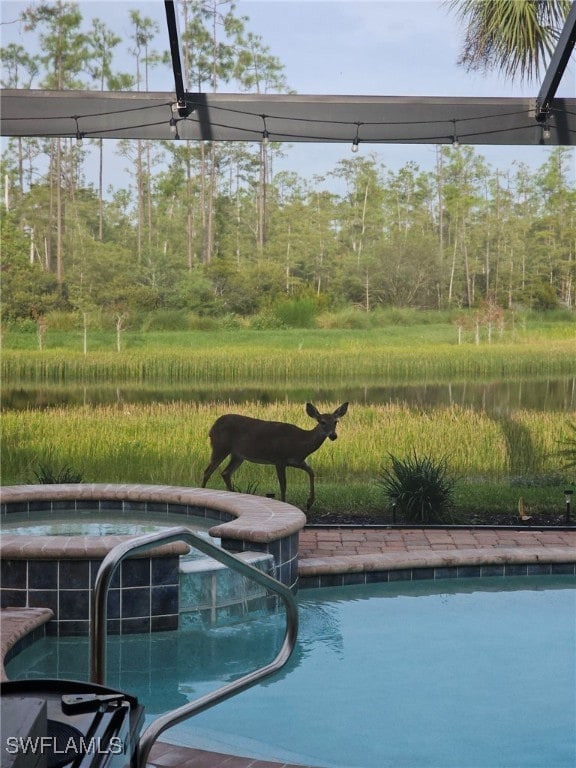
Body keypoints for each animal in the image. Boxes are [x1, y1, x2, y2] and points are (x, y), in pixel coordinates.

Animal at [200, 402, 348, 510]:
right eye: (322, 421)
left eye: (336, 422)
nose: (333, 436)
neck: (300, 443)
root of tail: (211, 428)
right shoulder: (279, 459)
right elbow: (283, 484)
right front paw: (285, 503)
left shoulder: (297, 461)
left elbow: (311, 472)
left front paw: (309, 502)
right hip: (220, 447)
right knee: (207, 471)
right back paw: (202, 492)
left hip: (238, 455)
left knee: (225, 472)